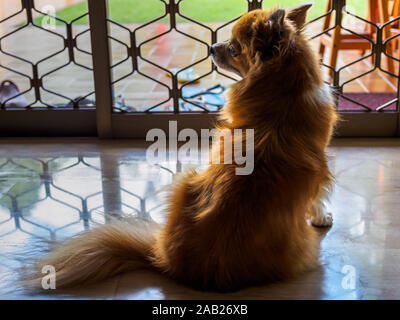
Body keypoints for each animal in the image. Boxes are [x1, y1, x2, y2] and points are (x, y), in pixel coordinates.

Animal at [25, 3, 338, 292]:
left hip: (184, 180)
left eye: (233, 49)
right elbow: (318, 197)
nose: (211, 47)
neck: (282, 89)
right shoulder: (321, 167)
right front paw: (322, 217)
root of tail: (165, 261)